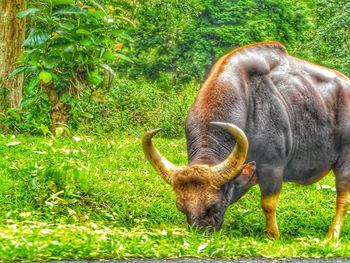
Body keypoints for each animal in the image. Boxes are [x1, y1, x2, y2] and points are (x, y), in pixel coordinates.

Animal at [142, 41, 350, 241]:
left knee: (343, 199)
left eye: (213, 206)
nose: (200, 233)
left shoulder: (272, 167)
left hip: (345, 163)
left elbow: (268, 203)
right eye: (181, 208)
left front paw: (273, 236)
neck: (248, 99)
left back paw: (332, 236)